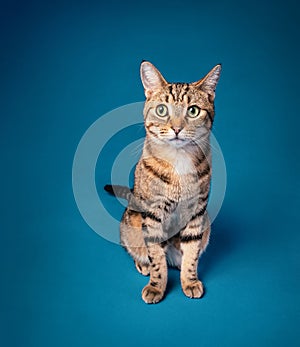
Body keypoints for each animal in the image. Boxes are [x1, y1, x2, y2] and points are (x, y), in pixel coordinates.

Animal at [105, 60, 220, 304]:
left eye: (193, 111)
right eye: (161, 110)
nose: (176, 128)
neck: (179, 162)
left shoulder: (197, 212)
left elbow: (192, 254)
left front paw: (189, 281)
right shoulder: (153, 213)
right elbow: (157, 257)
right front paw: (157, 286)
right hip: (132, 223)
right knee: (136, 249)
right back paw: (143, 264)